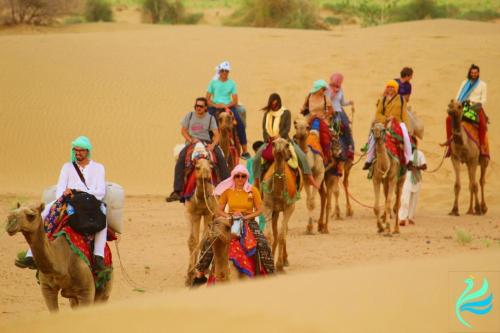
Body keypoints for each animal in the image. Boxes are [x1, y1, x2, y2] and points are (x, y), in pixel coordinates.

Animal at [262, 137, 296, 270]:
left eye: (287, 144)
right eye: (273, 143)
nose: (279, 148)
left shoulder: (290, 207)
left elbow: (282, 234)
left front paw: (280, 264)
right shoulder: (267, 207)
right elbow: (269, 235)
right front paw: (270, 263)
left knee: (283, 231)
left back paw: (285, 260)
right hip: (275, 211)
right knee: (276, 232)